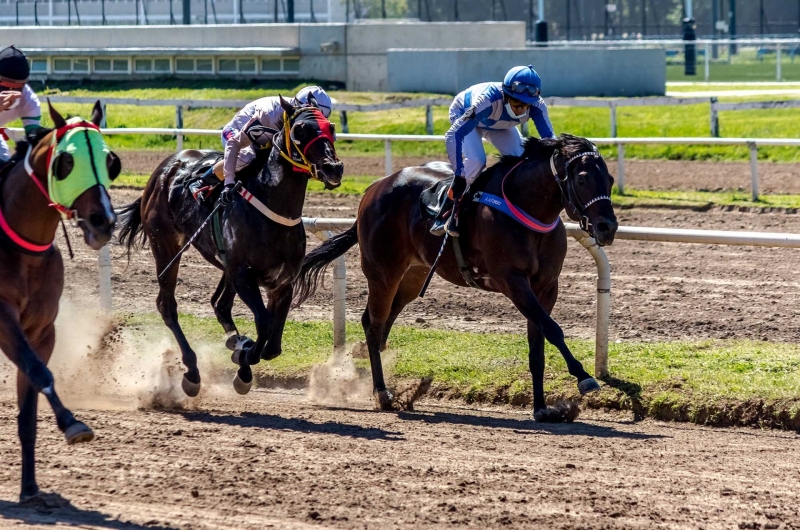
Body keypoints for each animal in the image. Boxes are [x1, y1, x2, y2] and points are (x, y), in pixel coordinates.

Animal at [0, 102, 119, 500]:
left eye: (110, 160)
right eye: (67, 162)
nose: (103, 221)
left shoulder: (41, 330)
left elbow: (30, 403)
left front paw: (30, 487)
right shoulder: (2, 319)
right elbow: (40, 372)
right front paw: (71, 422)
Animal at [117, 97, 342, 396]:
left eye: (331, 127)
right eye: (300, 129)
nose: (333, 168)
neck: (272, 210)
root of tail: (164, 169)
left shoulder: (282, 283)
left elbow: (272, 346)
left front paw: (242, 353)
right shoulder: (243, 274)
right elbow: (264, 324)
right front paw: (243, 359)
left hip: (223, 264)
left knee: (219, 304)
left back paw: (235, 346)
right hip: (165, 246)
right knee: (167, 305)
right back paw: (192, 372)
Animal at [294, 134, 620, 418]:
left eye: (610, 179)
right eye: (582, 178)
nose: (608, 227)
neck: (527, 211)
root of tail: (373, 189)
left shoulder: (547, 287)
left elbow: (537, 343)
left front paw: (542, 408)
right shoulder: (513, 281)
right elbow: (553, 329)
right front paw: (584, 377)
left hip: (414, 274)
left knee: (377, 321)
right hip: (383, 271)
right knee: (374, 325)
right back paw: (383, 394)